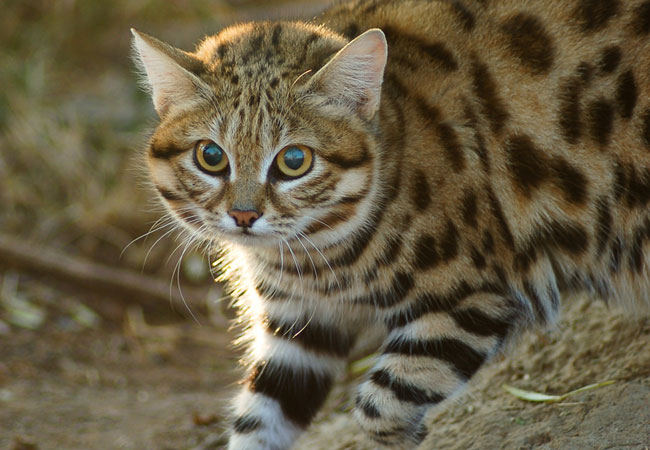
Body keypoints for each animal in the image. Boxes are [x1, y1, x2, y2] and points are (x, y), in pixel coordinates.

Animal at [129, 1, 648, 448]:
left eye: (294, 161)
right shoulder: (298, 329)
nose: (243, 215)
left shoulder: (474, 297)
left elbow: (379, 406)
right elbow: (257, 422)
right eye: (210, 156)